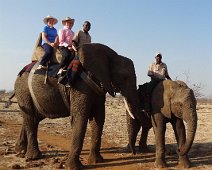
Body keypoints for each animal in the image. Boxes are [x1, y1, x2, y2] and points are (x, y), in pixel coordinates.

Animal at [14, 43, 150, 169]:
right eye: (124, 77)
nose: (133, 153)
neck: (110, 54)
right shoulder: (79, 86)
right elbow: (80, 118)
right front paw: (73, 167)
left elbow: (99, 118)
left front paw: (97, 161)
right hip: (23, 90)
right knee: (30, 118)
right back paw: (33, 157)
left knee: (32, 118)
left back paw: (20, 152)